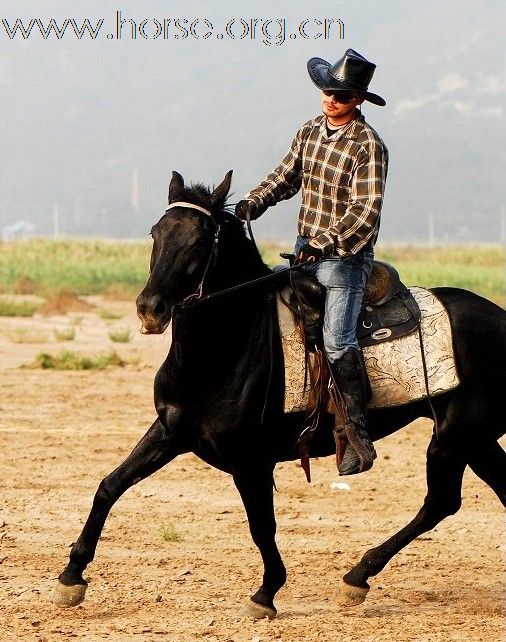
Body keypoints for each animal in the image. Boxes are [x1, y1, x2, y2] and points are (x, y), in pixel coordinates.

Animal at [52, 169, 506, 616]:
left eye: (202, 238)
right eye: (155, 232)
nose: (150, 309)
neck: (225, 347)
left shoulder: (250, 461)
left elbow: (261, 526)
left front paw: (266, 592)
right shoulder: (169, 431)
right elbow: (110, 486)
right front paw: (71, 577)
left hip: (455, 437)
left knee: (440, 502)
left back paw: (357, 577)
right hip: (476, 439)